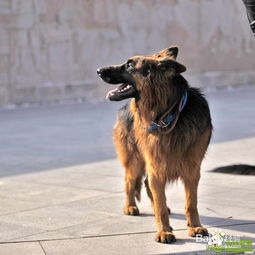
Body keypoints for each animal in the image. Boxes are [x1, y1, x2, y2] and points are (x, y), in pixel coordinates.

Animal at [96, 45, 212, 243]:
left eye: (129, 65)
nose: (98, 70)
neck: (168, 113)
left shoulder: (191, 169)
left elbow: (191, 202)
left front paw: (194, 226)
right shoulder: (156, 167)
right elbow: (159, 202)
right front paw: (164, 230)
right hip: (135, 161)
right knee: (129, 181)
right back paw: (130, 206)